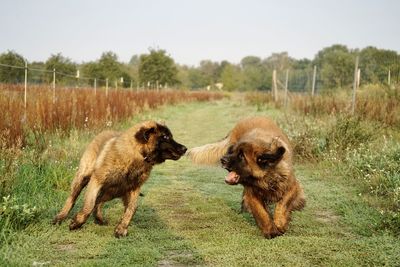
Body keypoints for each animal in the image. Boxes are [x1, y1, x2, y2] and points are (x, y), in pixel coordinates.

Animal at [52, 121, 188, 239]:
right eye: (165, 137)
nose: (185, 148)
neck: (137, 155)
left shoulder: (134, 188)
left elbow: (132, 208)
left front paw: (121, 229)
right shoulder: (96, 181)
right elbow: (88, 205)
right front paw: (76, 223)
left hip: (113, 191)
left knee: (99, 201)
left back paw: (99, 219)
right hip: (84, 178)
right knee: (72, 199)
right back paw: (60, 218)